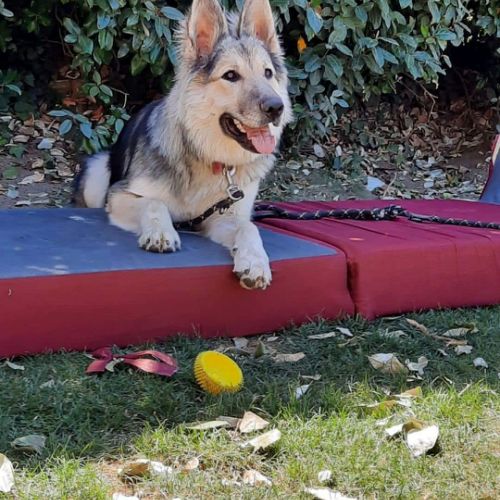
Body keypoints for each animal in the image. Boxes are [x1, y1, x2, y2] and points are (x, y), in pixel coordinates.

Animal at [73, 0, 292, 290]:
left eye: (268, 73)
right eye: (230, 75)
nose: (276, 108)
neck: (205, 156)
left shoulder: (223, 217)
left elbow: (249, 227)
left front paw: (255, 261)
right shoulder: (120, 194)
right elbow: (155, 203)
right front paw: (160, 232)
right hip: (97, 172)